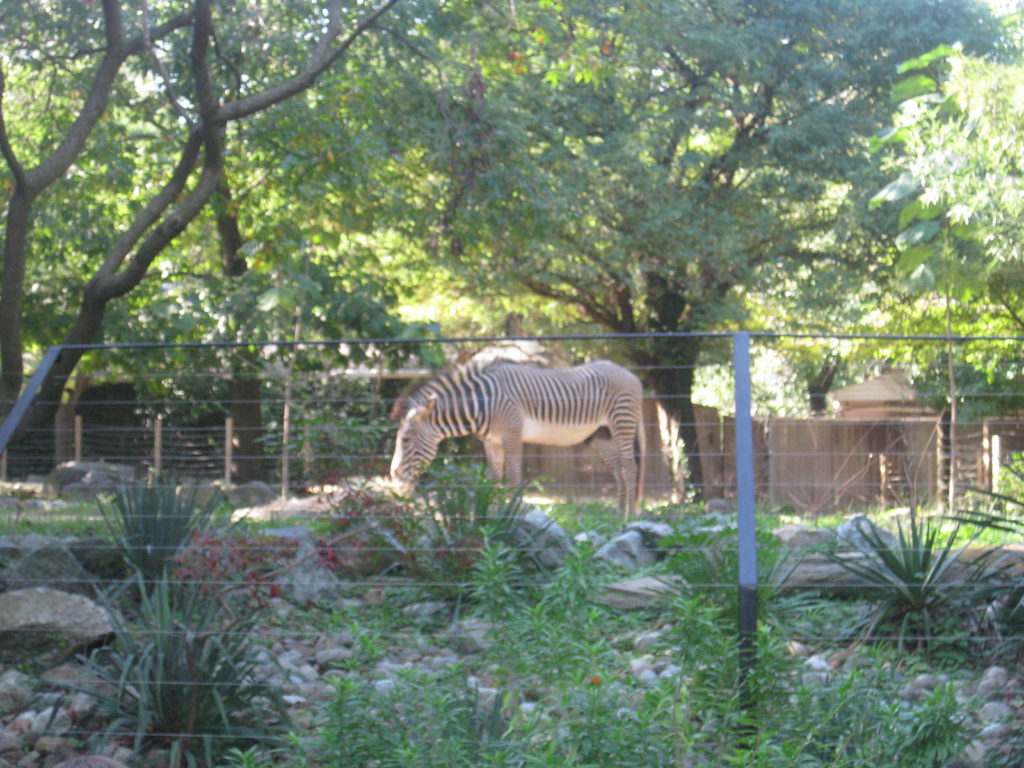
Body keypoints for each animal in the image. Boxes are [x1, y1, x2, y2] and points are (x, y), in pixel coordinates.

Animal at [387, 360, 643, 518]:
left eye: (406, 440)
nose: (393, 476)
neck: (483, 405)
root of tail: (631, 374)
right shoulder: (491, 442)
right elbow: (492, 481)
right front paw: (488, 518)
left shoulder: (512, 434)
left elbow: (513, 479)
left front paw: (509, 517)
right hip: (602, 435)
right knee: (619, 469)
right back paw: (619, 515)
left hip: (622, 424)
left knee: (630, 468)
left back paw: (629, 519)